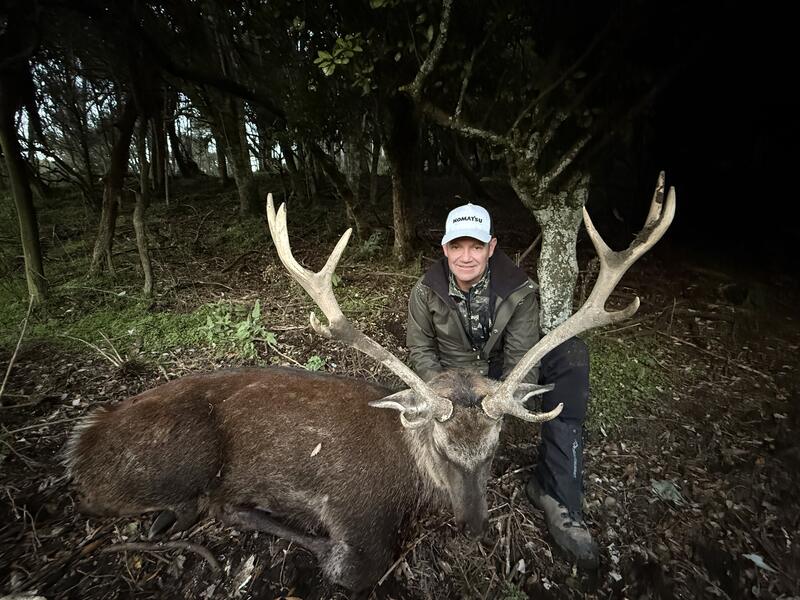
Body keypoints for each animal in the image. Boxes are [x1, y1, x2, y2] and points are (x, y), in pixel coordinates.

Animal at [65, 174, 675, 593]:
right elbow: (354, 568)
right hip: (184, 458)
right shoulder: (352, 510)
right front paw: (324, 551)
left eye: (495, 449)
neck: (408, 480)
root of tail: (82, 442)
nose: (474, 528)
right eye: (441, 448)